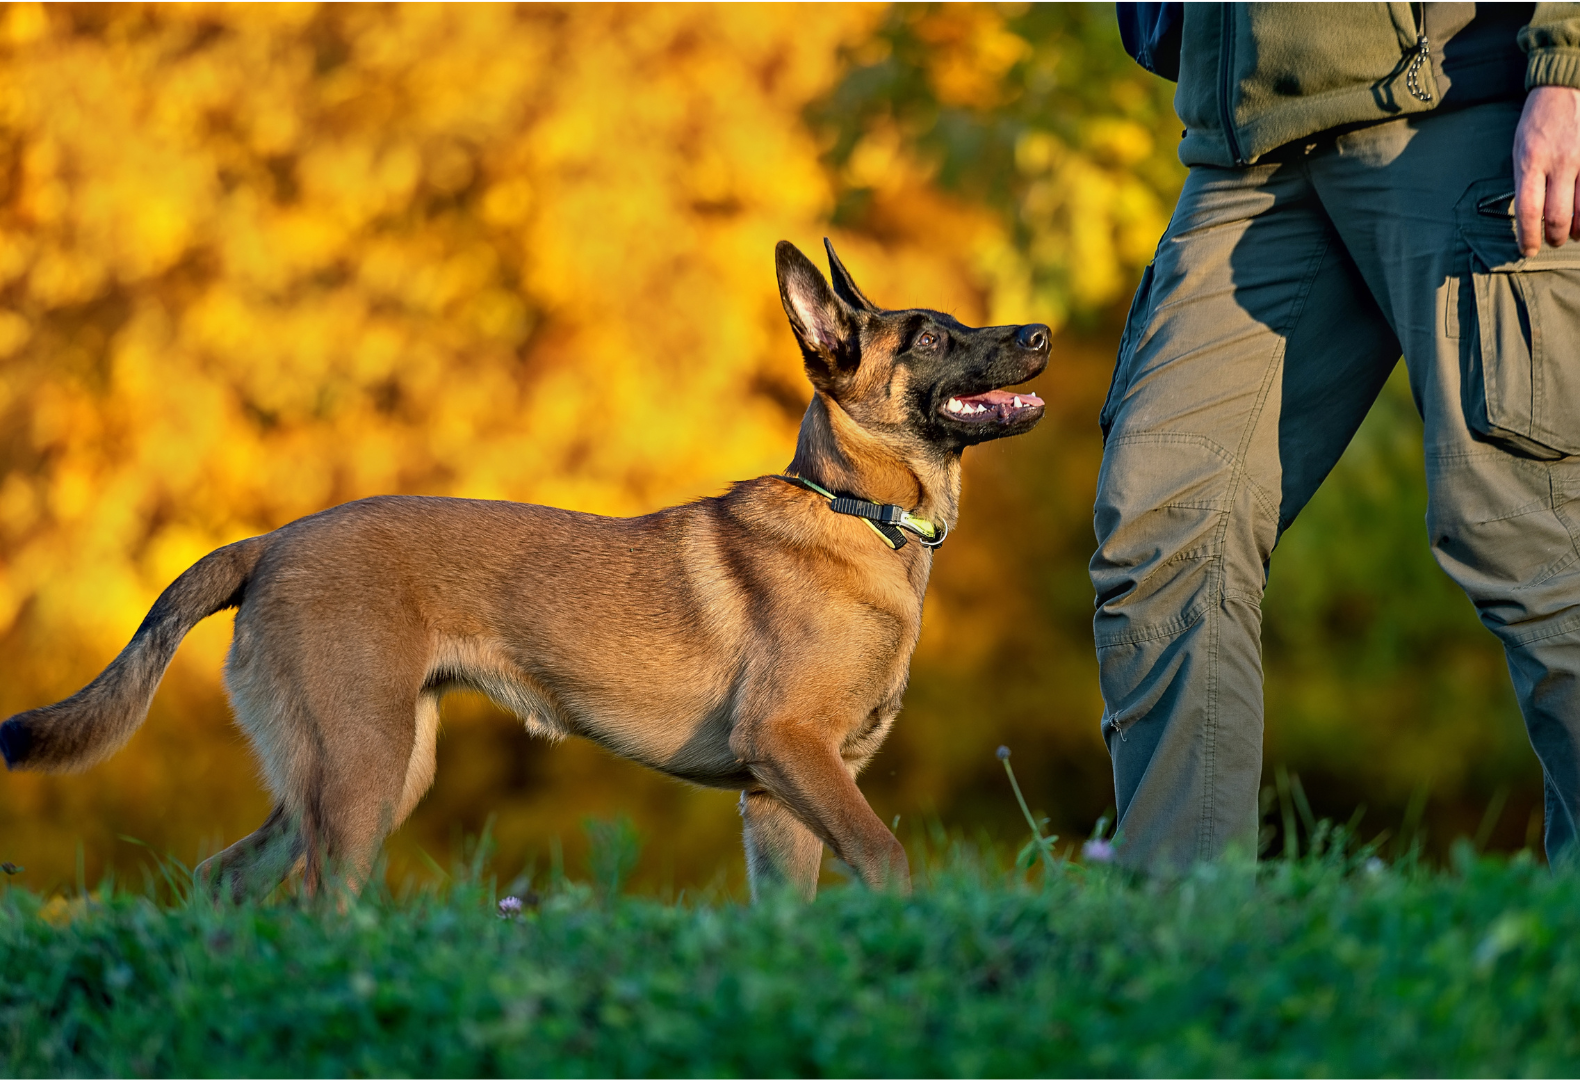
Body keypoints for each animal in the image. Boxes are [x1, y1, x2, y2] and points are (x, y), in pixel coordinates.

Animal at [0, 244, 1049, 903]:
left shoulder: (774, 799)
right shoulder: (795, 754)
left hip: (364, 769)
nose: (1040, 333)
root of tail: (272, 542)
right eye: (928, 337)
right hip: (362, 768)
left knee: (226, 879)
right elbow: (889, 860)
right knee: (313, 901)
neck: (857, 513)